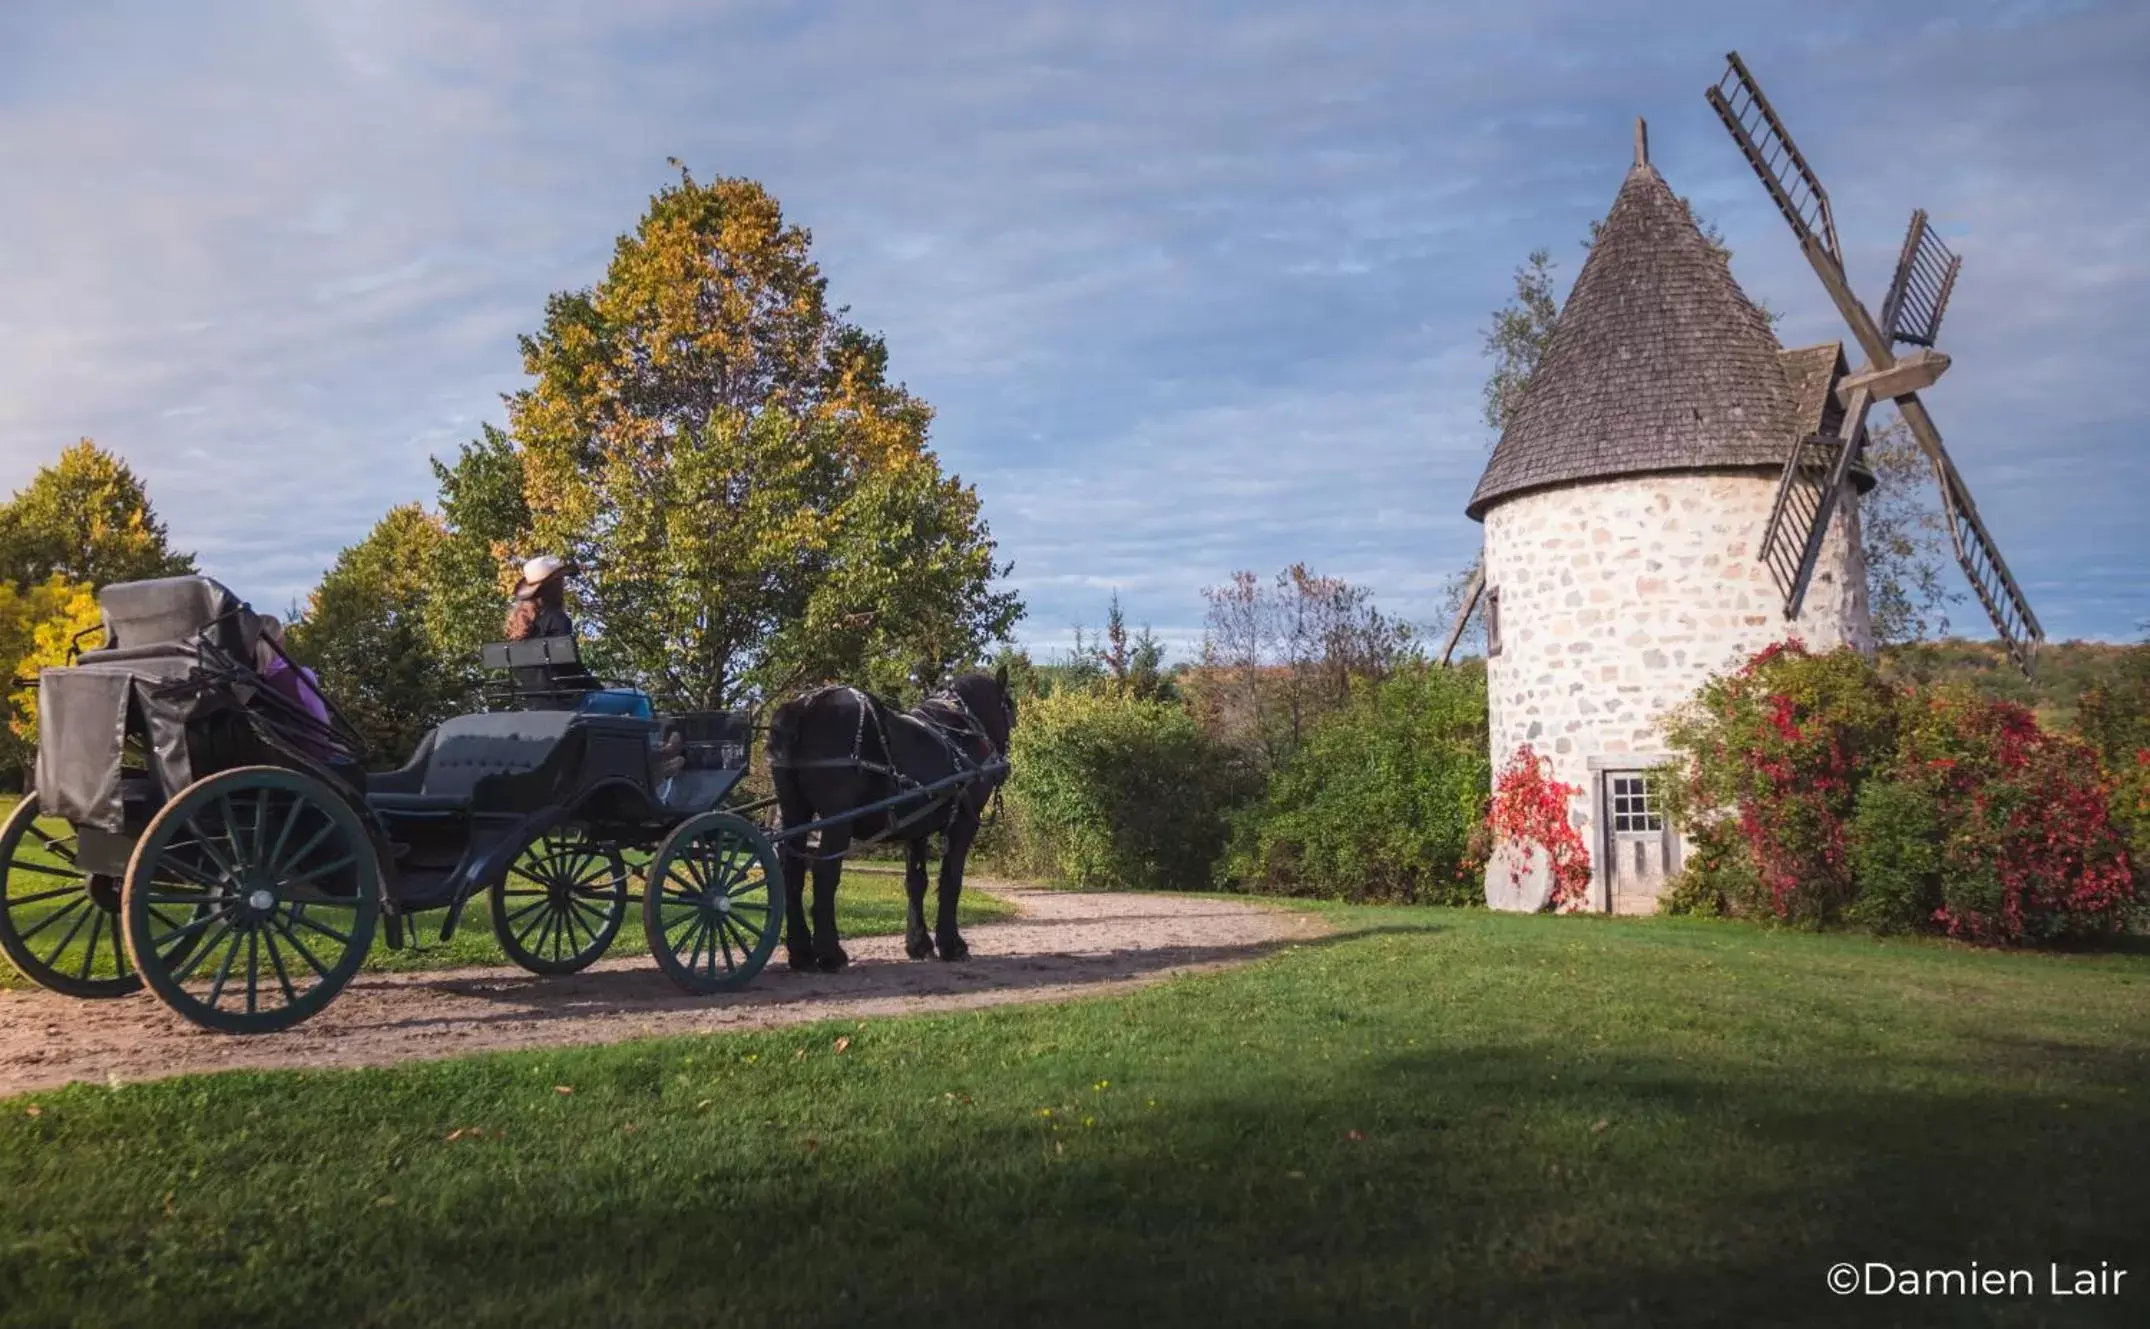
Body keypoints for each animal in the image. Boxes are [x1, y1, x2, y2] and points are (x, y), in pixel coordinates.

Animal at [765, 666, 1014, 967]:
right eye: (1010, 708)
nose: (1004, 766)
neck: (958, 735)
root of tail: (805, 704)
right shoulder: (964, 822)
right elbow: (951, 879)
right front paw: (952, 944)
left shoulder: (917, 827)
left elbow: (916, 882)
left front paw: (919, 944)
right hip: (836, 819)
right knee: (825, 872)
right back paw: (830, 953)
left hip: (794, 810)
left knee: (792, 872)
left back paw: (801, 951)